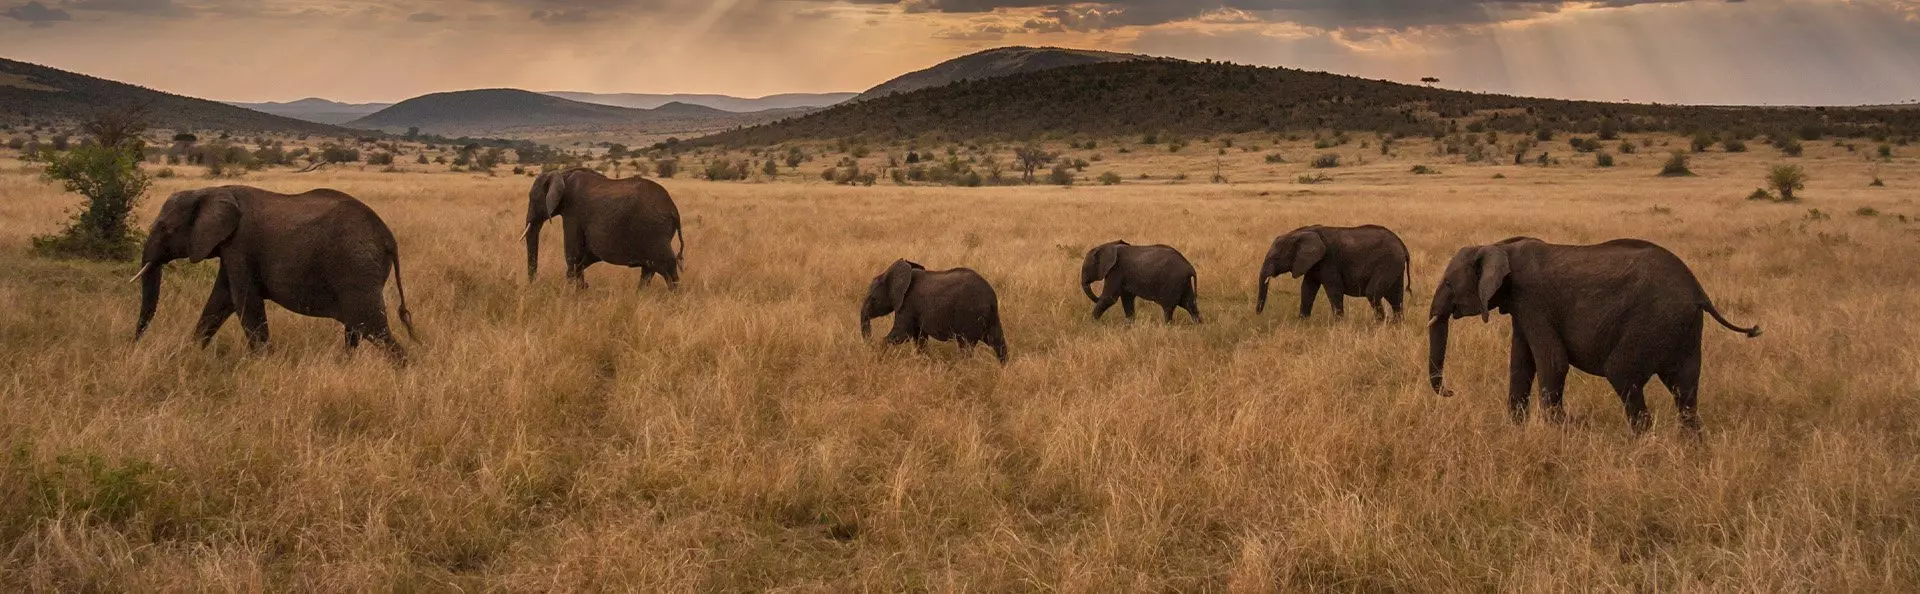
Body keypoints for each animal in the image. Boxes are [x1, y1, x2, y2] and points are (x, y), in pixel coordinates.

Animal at [132, 186, 417, 359]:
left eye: (164, 228)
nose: (134, 344)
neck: (211, 190)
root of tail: (389, 239)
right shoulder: (230, 249)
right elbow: (219, 301)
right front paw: (189, 354)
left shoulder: (241, 244)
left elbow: (244, 302)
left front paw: (261, 363)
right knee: (355, 330)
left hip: (356, 266)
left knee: (372, 327)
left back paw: (404, 371)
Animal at [523, 168, 685, 290]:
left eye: (533, 198)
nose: (533, 284)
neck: (563, 174)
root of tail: (674, 211)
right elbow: (582, 259)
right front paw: (581, 290)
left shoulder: (573, 213)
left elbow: (572, 255)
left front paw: (572, 293)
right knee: (649, 269)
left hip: (655, 232)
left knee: (667, 266)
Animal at [860, 260, 1008, 363]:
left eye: (873, 299)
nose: (870, 343)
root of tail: (991, 297)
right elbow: (919, 338)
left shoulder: (906, 304)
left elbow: (902, 334)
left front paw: (879, 352)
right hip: (990, 316)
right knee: (997, 342)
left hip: (970, 315)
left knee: (966, 346)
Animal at [1256, 225, 1411, 320]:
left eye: (1276, 258)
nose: (1258, 315)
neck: (1301, 232)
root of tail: (1402, 244)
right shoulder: (1313, 263)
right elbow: (1307, 289)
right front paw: (1302, 321)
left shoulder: (1329, 260)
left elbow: (1333, 289)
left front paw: (1339, 323)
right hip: (1395, 265)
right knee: (1396, 297)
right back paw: (1396, 325)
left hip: (1388, 262)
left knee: (1373, 293)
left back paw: (1380, 324)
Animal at [1426, 237, 1761, 434]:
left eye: (1448, 283)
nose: (1451, 392)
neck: (1498, 244)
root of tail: (1699, 292)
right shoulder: (1522, 308)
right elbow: (1521, 364)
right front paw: (1516, 430)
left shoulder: (1534, 301)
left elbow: (1552, 362)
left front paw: (1561, 430)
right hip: (1684, 329)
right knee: (1686, 391)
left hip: (1652, 321)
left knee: (1623, 373)